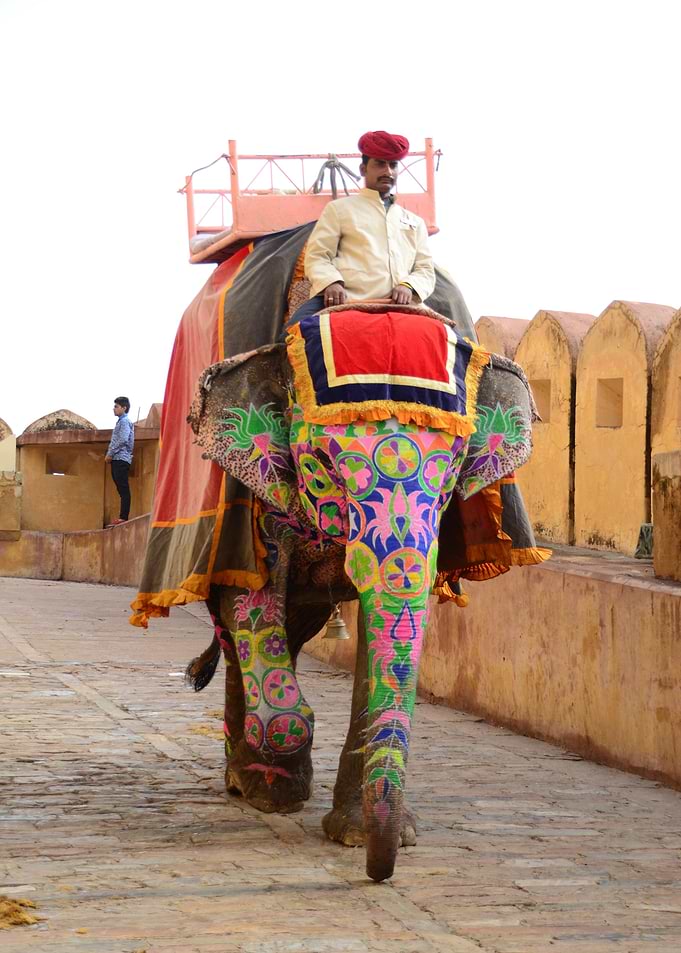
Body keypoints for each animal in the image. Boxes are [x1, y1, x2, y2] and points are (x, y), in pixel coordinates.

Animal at [182, 300, 544, 882]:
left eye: (455, 469)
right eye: (323, 465)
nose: (379, 873)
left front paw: (358, 834)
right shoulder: (258, 495)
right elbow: (256, 600)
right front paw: (287, 782)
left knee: (295, 628)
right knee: (240, 620)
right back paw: (256, 790)